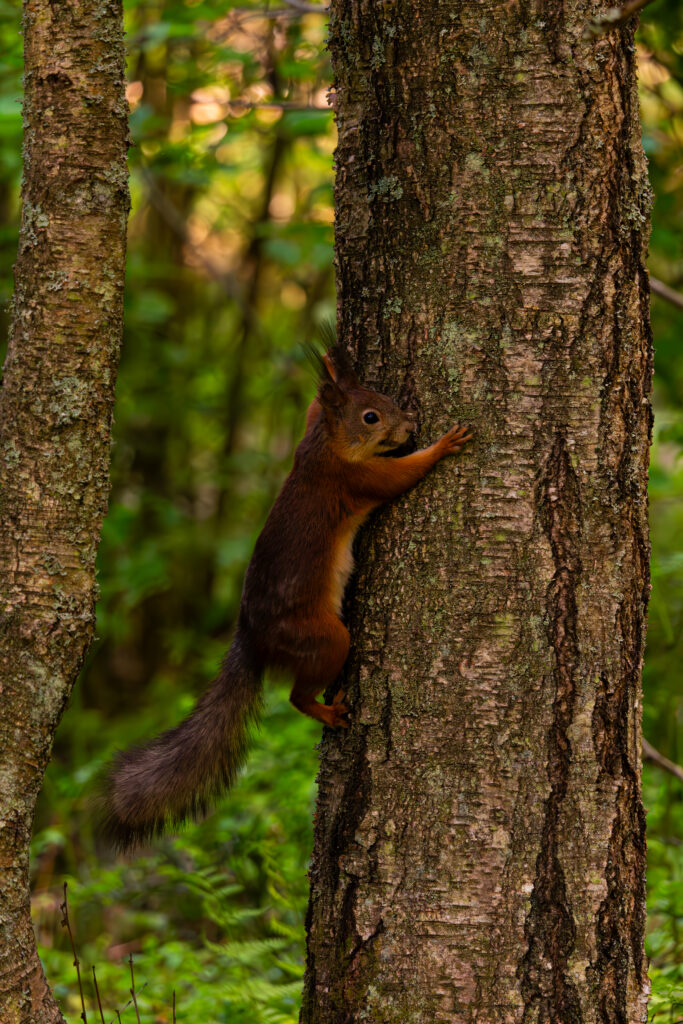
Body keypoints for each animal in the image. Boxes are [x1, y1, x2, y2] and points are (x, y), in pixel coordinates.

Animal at [103, 342, 472, 849]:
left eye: (380, 396)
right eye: (371, 417)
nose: (411, 424)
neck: (324, 443)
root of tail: (252, 640)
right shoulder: (354, 479)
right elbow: (400, 477)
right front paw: (442, 446)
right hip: (322, 637)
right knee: (298, 695)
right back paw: (328, 712)